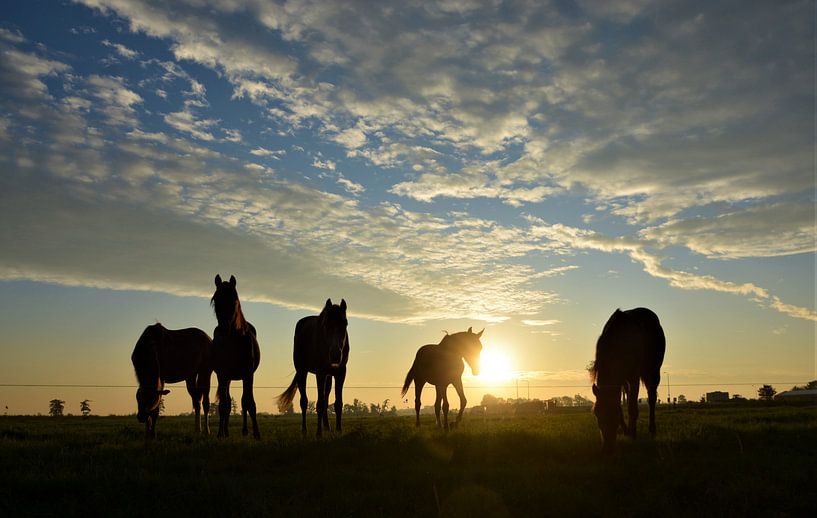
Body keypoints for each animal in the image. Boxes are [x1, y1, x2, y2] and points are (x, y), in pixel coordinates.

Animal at [210, 274, 262, 440]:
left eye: (234, 300)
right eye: (215, 299)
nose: (224, 329)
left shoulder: (248, 374)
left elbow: (249, 403)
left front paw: (256, 433)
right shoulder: (222, 375)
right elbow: (223, 405)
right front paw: (220, 433)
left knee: (244, 402)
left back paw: (245, 431)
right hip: (227, 378)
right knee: (227, 402)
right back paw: (225, 431)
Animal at [278, 300, 348, 438]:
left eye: (345, 324)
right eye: (326, 325)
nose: (335, 354)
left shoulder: (340, 373)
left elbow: (337, 403)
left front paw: (338, 431)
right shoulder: (320, 373)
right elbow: (319, 404)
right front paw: (318, 434)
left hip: (328, 377)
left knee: (326, 399)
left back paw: (327, 427)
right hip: (302, 371)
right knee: (304, 402)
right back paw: (304, 431)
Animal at [588, 308, 668, 456]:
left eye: (612, 415)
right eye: (597, 414)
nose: (607, 449)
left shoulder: (633, 376)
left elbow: (632, 407)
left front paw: (633, 435)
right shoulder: (621, 381)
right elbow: (622, 404)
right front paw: (627, 431)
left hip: (653, 371)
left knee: (652, 398)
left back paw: (651, 430)